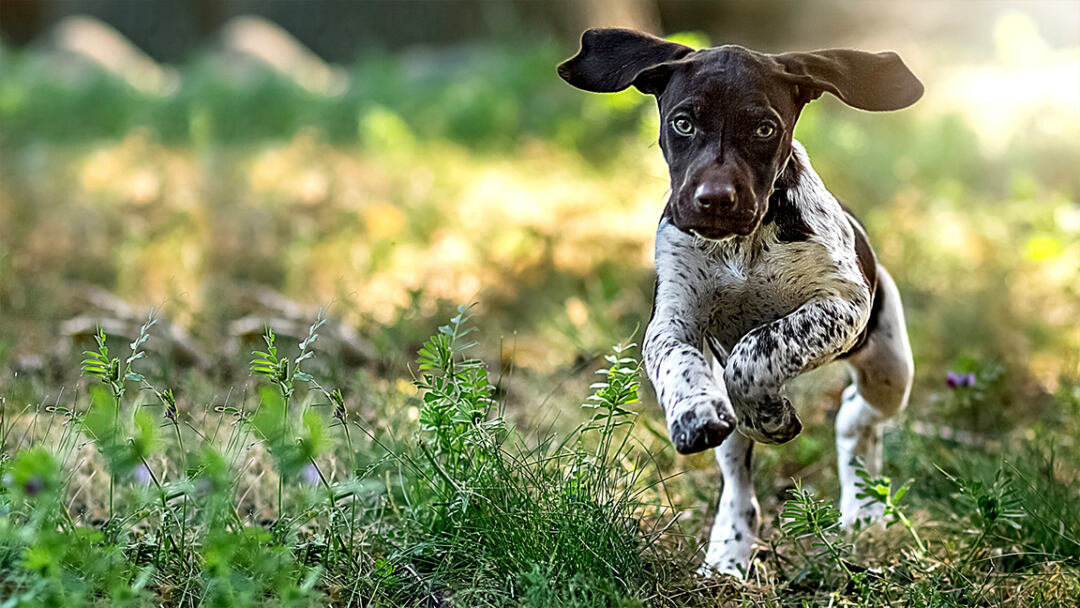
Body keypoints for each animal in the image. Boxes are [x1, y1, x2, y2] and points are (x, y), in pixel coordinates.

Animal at [557, 28, 920, 578]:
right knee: (738, 478)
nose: (715, 199)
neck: (740, 246)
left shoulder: (843, 303)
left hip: (888, 366)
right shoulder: (673, 321)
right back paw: (729, 548)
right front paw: (695, 413)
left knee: (855, 419)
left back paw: (863, 507)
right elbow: (681, 364)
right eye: (683, 123)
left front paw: (770, 416)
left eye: (765, 128)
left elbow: (758, 349)